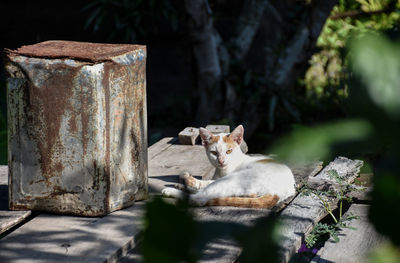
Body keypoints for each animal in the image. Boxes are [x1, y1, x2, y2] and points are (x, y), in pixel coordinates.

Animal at [161, 125, 296, 209]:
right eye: (214, 152)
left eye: (229, 151)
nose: (221, 161)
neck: (222, 171)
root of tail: (280, 192)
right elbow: (207, 182)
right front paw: (184, 183)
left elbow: (204, 185)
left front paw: (187, 182)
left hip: (235, 179)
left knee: (199, 198)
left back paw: (172, 190)